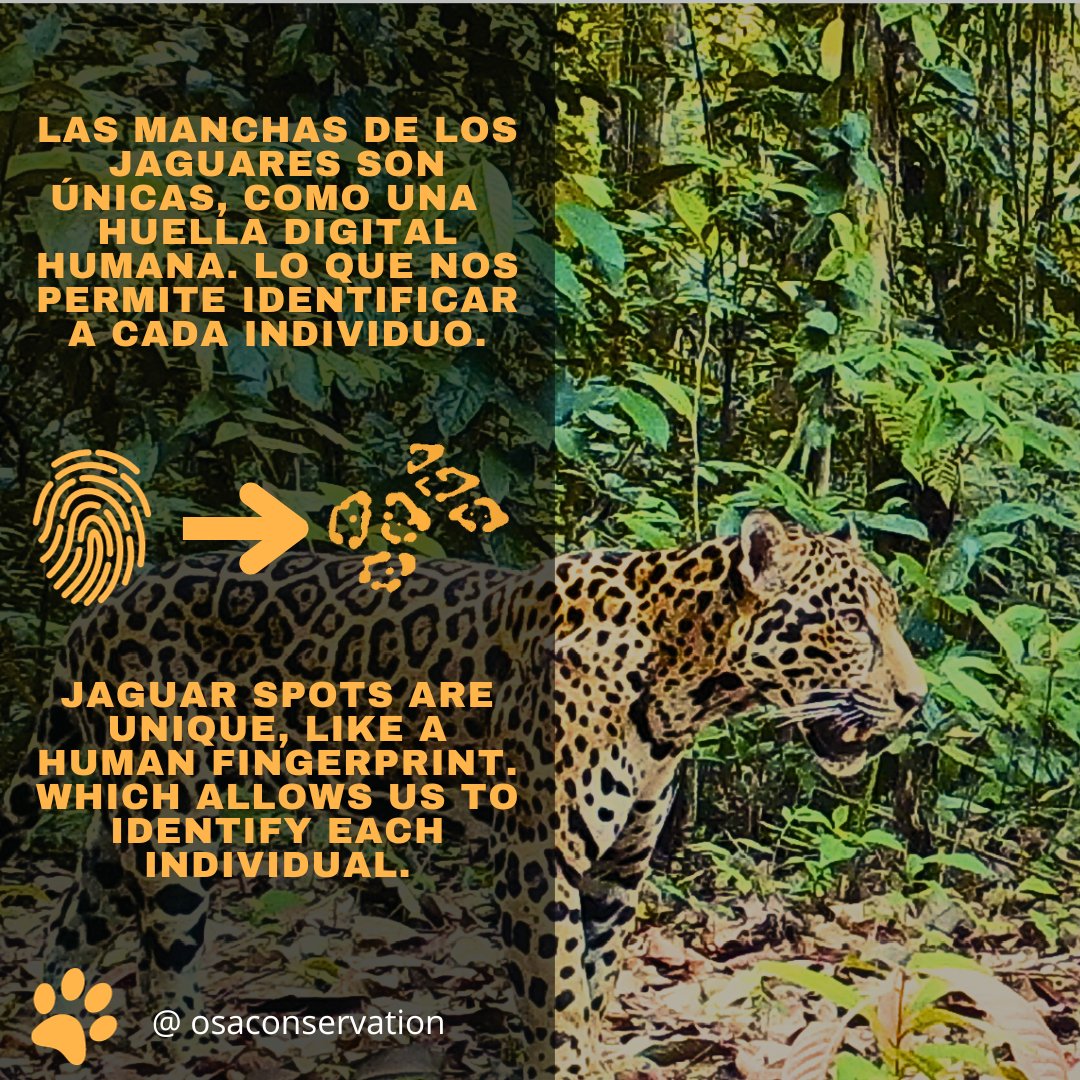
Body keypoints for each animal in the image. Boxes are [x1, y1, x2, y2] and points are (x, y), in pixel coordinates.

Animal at [0, 509, 926, 1077]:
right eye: (850, 620)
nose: (918, 700)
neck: (685, 688)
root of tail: (97, 609)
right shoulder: (539, 861)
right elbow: (554, 991)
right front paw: (560, 1065)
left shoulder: (617, 874)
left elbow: (596, 983)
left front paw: (595, 1055)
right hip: (171, 817)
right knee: (163, 966)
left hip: (122, 821)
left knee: (72, 924)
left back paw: (58, 1023)